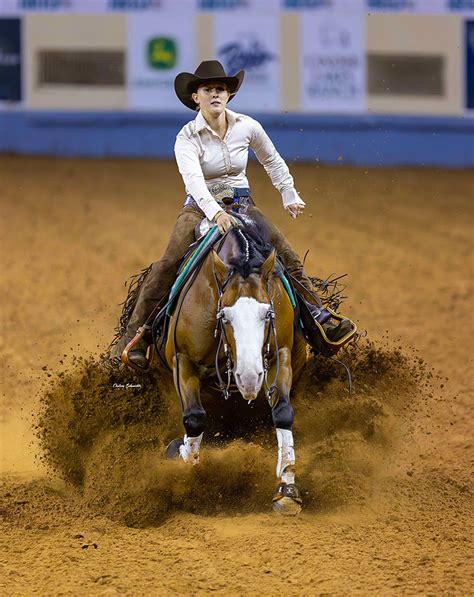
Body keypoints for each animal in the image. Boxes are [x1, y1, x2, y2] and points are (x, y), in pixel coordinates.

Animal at [161, 218, 306, 512]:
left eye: (268, 313)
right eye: (224, 315)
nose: (249, 378)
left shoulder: (280, 354)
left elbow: (283, 412)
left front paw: (287, 488)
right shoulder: (181, 358)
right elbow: (194, 418)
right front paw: (181, 457)